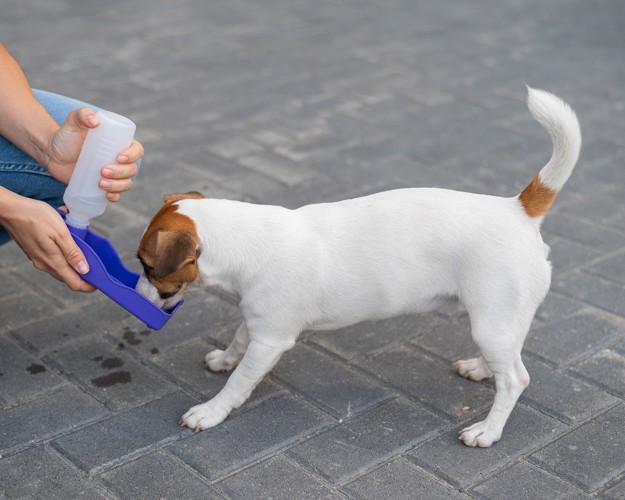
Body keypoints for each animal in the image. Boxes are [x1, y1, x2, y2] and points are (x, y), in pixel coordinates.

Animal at [135, 88, 580, 448]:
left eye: (147, 265)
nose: (136, 295)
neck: (247, 239)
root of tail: (517, 208)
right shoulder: (258, 323)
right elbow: (237, 341)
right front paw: (224, 359)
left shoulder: (271, 340)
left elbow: (240, 381)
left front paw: (211, 411)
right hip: (498, 321)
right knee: (507, 358)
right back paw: (480, 368)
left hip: (491, 319)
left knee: (515, 379)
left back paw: (488, 431)